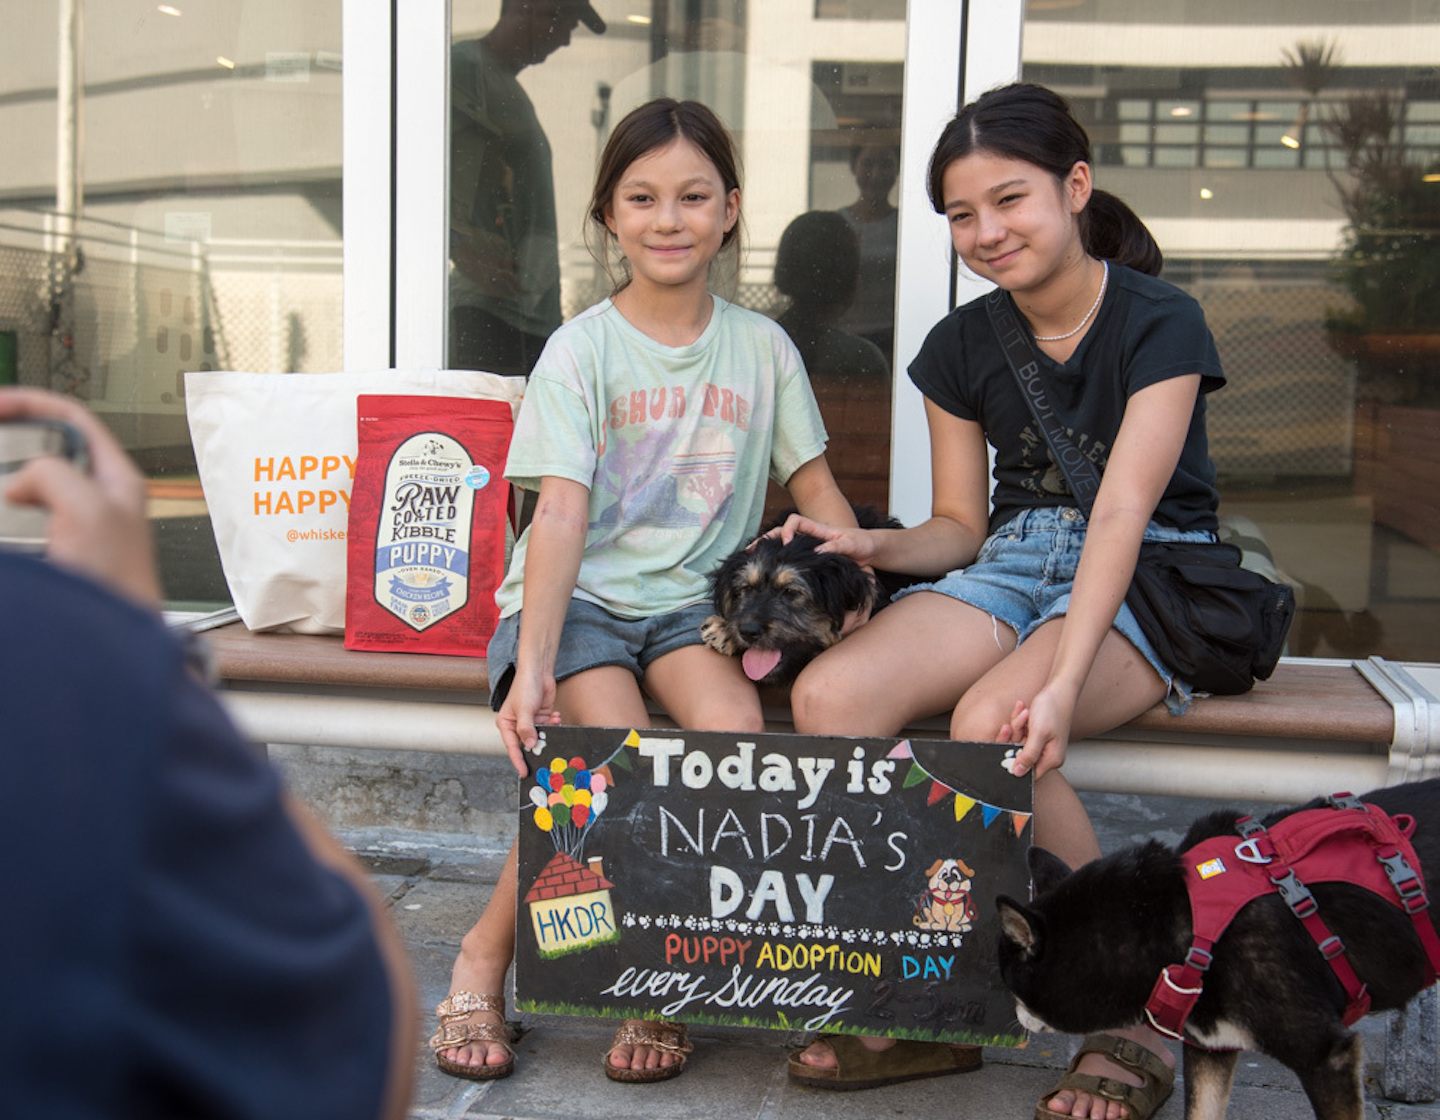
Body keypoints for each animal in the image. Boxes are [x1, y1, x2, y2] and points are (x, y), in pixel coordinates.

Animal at [996, 777, 1440, 1117]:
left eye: (1010, 984)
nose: (1015, 1019)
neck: (1185, 926)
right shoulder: (1213, 1045)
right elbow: (1202, 1110)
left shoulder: (1328, 1055)